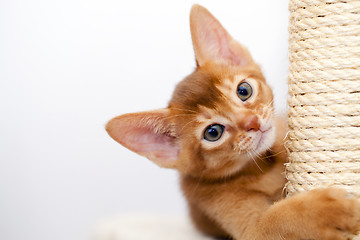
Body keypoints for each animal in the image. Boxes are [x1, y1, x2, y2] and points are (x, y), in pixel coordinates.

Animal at [105, 4, 360, 240]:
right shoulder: (246, 225)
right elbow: (281, 218)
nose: (252, 122)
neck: (266, 166)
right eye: (213, 132)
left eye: (244, 90)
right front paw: (333, 212)